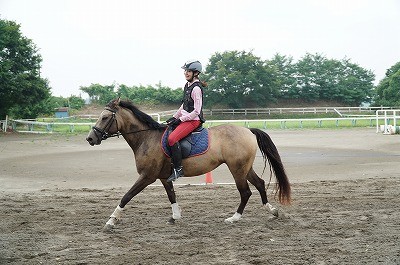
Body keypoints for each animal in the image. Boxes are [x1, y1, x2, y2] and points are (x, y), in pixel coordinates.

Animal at [86, 98, 290, 230]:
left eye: (105, 118)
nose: (90, 138)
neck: (147, 137)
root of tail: (248, 130)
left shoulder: (147, 177)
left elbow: (126, 196)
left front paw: (111, 221)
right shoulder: (163, 177)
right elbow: (171, 195)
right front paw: (175, 216)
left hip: (237, 169)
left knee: (246, 192)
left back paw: (234, 218)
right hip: (244, 168)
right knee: (260, 184)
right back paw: (273, 211)